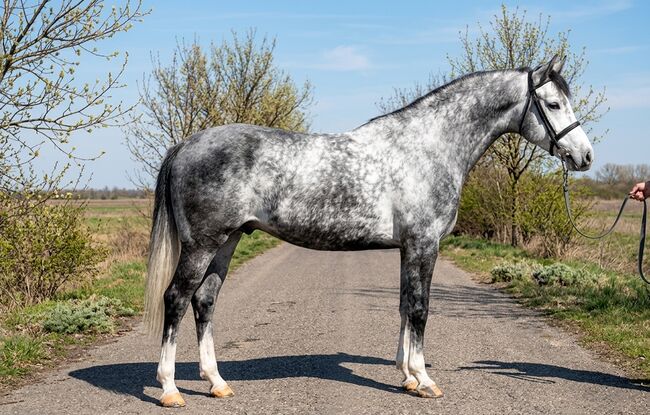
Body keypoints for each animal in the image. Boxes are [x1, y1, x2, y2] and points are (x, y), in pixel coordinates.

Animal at [143, 55, 593, 407]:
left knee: (204, 301)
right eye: (553, 103)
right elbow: (420, 308)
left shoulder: (408, 247)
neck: (429, 147)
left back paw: (217, 383)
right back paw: (170, 389)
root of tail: (185, 146)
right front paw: (424, 380)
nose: (585, 156)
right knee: (176, 299)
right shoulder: (424, 244)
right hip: (202, 244)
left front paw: (407, 375)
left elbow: (404, 305)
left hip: (228, 241)